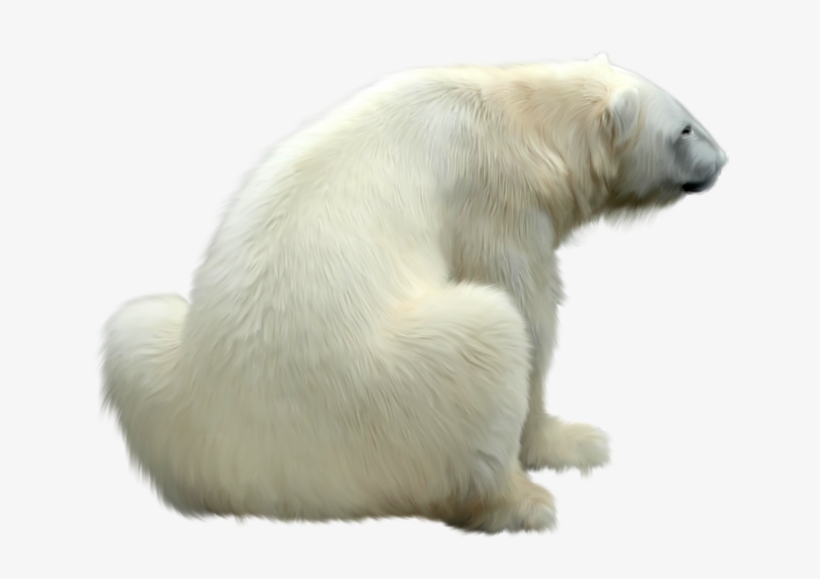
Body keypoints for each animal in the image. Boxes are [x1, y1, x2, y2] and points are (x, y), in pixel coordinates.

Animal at [102, 54, 727, 533]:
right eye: (685, 128)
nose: (723, 160)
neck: (521, 116)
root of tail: (258, 486)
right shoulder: (494, 195)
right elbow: (526, 305)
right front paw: (569, 442)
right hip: (382, 388)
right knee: (487, 336)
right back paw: (521, 502)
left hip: (167, 376)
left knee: (138, 325)